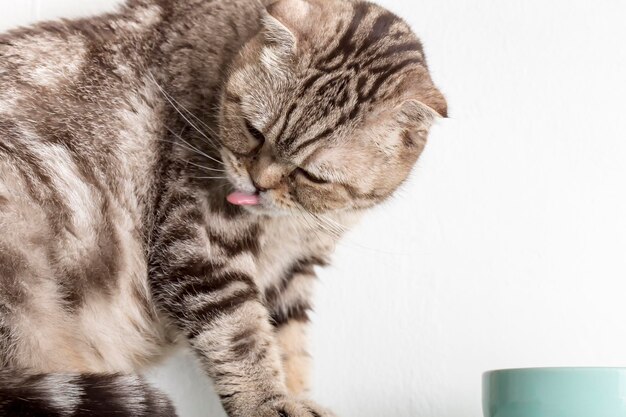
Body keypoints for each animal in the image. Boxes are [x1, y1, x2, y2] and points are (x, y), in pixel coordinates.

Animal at [1, 0, 448, 414]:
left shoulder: (291, 272)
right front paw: (266, 401)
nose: (258, 182)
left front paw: (299, 396)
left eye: (312, 175)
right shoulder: (202, 241)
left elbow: (288, 346)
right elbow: (240, 335)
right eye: (254, 131)